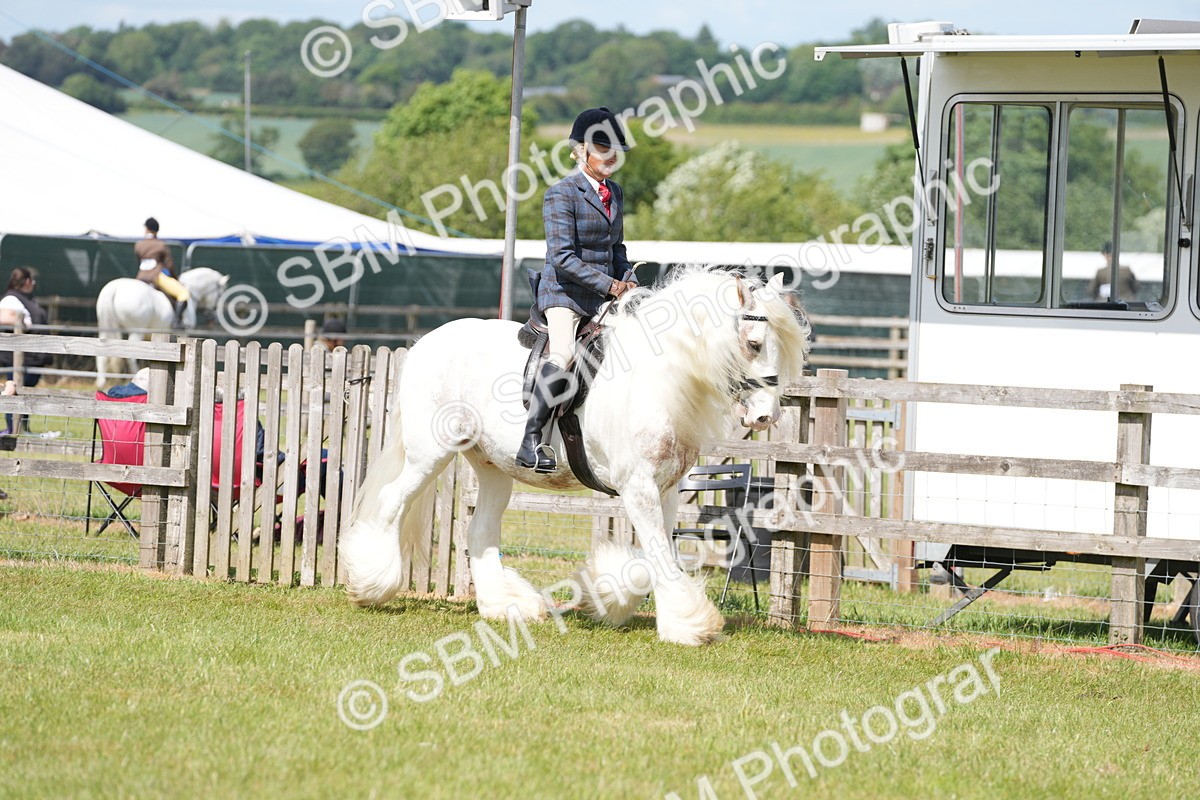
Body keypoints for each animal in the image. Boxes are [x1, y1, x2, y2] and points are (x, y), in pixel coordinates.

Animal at [95, 267, 229, 387]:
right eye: (220, 294)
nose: (214, 318)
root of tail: (114, 288)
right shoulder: (183, 334)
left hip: (107, 327)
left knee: (102, 350)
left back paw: (101, 381)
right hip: (137, 330)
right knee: (131, 356)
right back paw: (132, 376)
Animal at [340, 266, 810, 645]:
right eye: (753, 344)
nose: (766, 416)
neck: (656, 380)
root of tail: (426, 342)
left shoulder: (665, 490)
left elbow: (654, 556)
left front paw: (608, 595)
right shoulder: (638, 488)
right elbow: (658, 554)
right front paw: (688, 625)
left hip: (492, 467)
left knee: (480, 531)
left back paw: (506, 605)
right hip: (431, 454)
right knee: (392, 502)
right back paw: (370, 583)